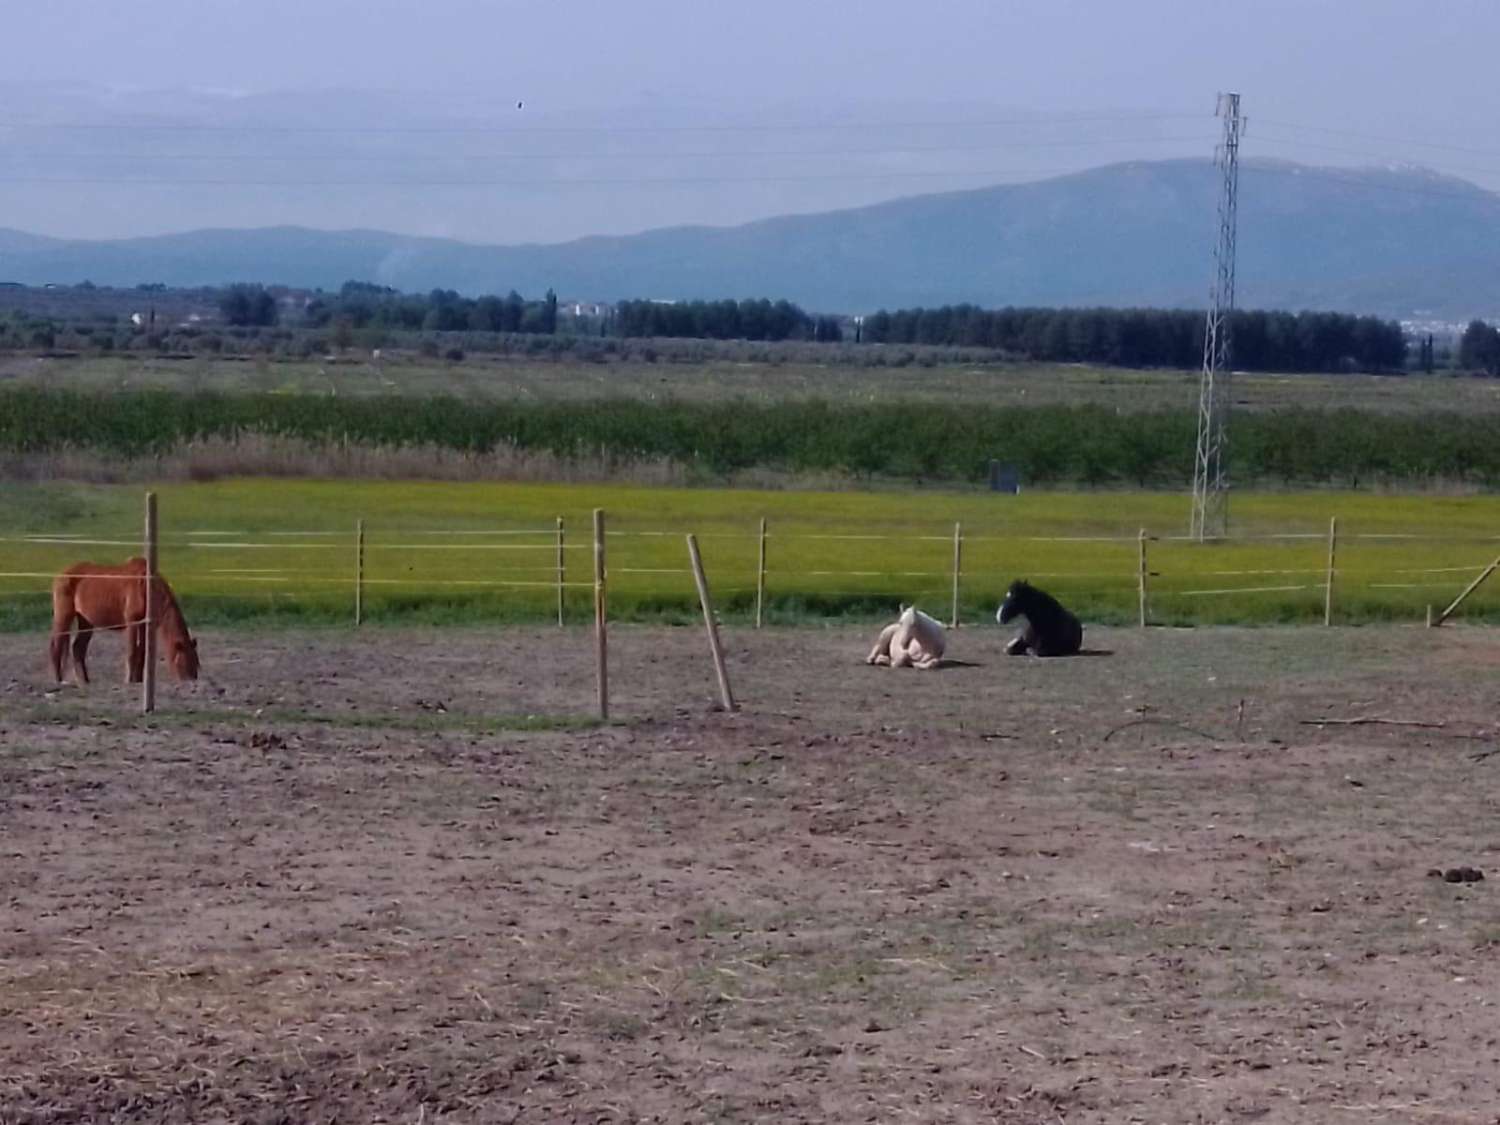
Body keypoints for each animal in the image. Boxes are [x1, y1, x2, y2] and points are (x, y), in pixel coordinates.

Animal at [49, 558, 199, 687]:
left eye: (196, 663)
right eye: (185, 662)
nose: (192, 681)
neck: (146, 587)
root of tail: (61, 575)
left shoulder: (144, 624)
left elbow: (142, 651)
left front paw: (139, 679)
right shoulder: (132, 621)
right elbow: (132, 651)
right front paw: (129, 680)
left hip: (86, 621)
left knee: (78, 648)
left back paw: (85, 680)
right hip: (64, 616)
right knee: (56, 645)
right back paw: (58, 679)